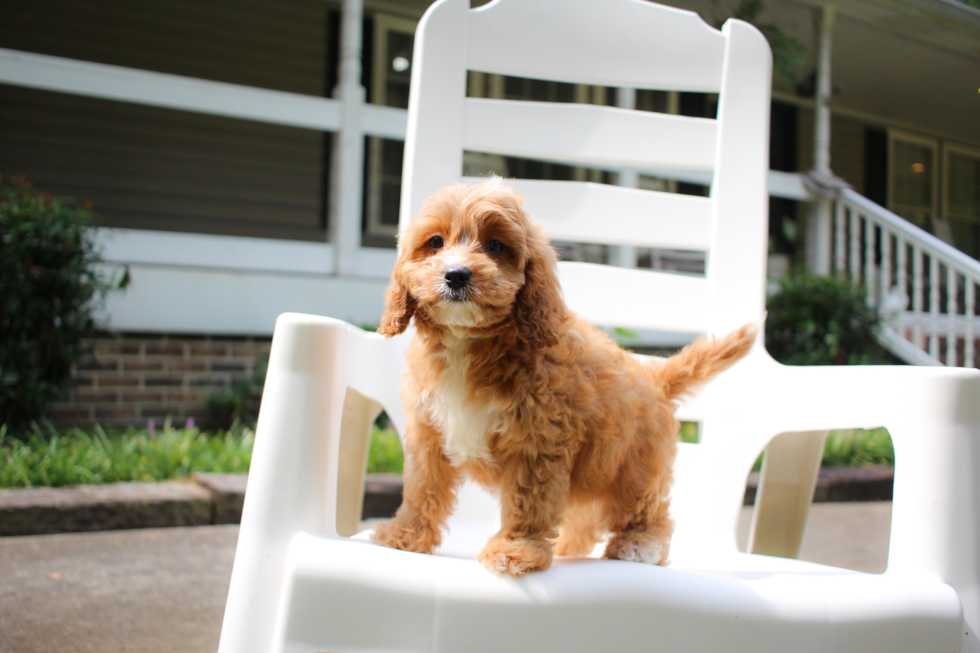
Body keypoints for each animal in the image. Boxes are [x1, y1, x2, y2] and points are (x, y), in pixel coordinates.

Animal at [372, 178, 756, 576]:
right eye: (435, 242)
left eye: (496, 245)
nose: (457, 274)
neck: (468, 342)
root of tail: (656, 376)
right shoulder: (428, 433)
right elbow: (422, 487)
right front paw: (406, 536)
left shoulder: (538, 442)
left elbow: (528, 501)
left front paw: (515, 550)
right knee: (587, 516)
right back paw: (572, 547)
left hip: (635, 464)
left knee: (646, 507)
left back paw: (639, 545)